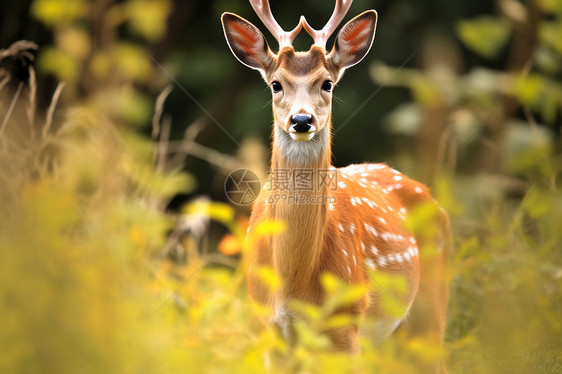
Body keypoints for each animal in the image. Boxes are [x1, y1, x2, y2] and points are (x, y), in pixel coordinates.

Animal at [221, 0, 448, 372]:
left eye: (326, 84)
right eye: (276, 85)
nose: (301, 120)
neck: (293, 282)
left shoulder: (346, 323)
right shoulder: (270, 327)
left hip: (430, 304)